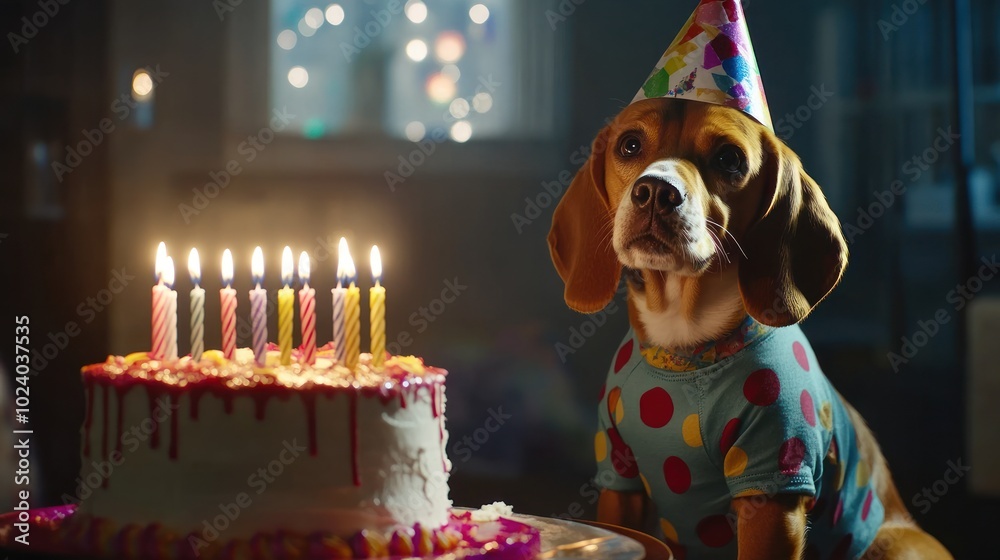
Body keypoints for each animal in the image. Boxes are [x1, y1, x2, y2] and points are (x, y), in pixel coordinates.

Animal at [552, 99, 948, 560]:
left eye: (729, 159)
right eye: (629, 145)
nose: (656, 191)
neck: (685, 349)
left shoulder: (772, 490)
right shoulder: (619, 480)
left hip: (897, 544)